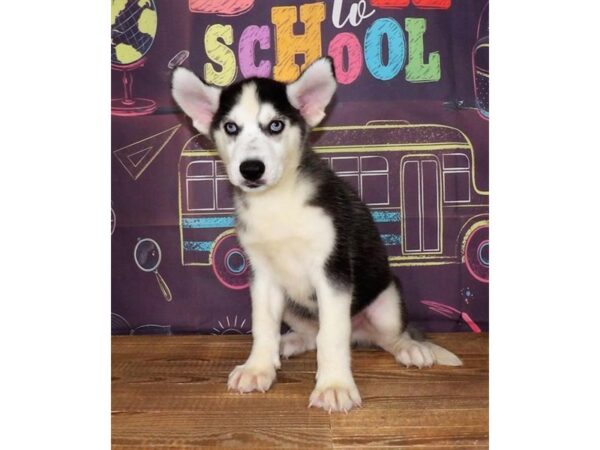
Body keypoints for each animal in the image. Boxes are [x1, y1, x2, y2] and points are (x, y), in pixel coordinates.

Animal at [171, 58, 462, 414]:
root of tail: (361, 333)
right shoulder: (262, 275)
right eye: (230, 128)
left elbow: (332, 336)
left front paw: (334, 385)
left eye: (276, 126)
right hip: (291, 304)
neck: (277, 202)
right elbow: (262, 325)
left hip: (387, 302)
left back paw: (411, 348)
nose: (251, 169)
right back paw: (288, 342)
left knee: (388, 336)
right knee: (311, 333)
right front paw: (258, 367)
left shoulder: (332, 271)